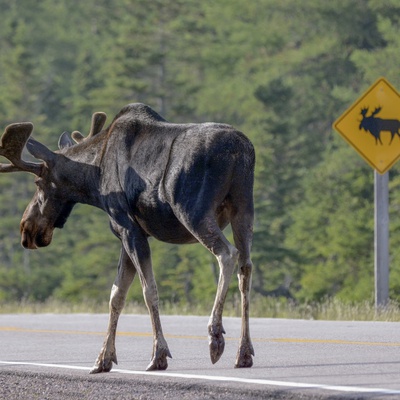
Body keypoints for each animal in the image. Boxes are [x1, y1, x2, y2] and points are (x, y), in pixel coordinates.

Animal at [0, 103, 256, 372]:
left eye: (38, 183)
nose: (26, 229)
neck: (94, 181)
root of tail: (241, 151)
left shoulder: (128, 228)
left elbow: (148, 290)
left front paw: (158, 354)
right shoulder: (129, 233)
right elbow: (117, 294)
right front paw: (104, 358)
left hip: (193, 211)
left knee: (227, 254)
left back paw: (215, 335)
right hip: (243, 209)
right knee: (246, 267)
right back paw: (244, 351)